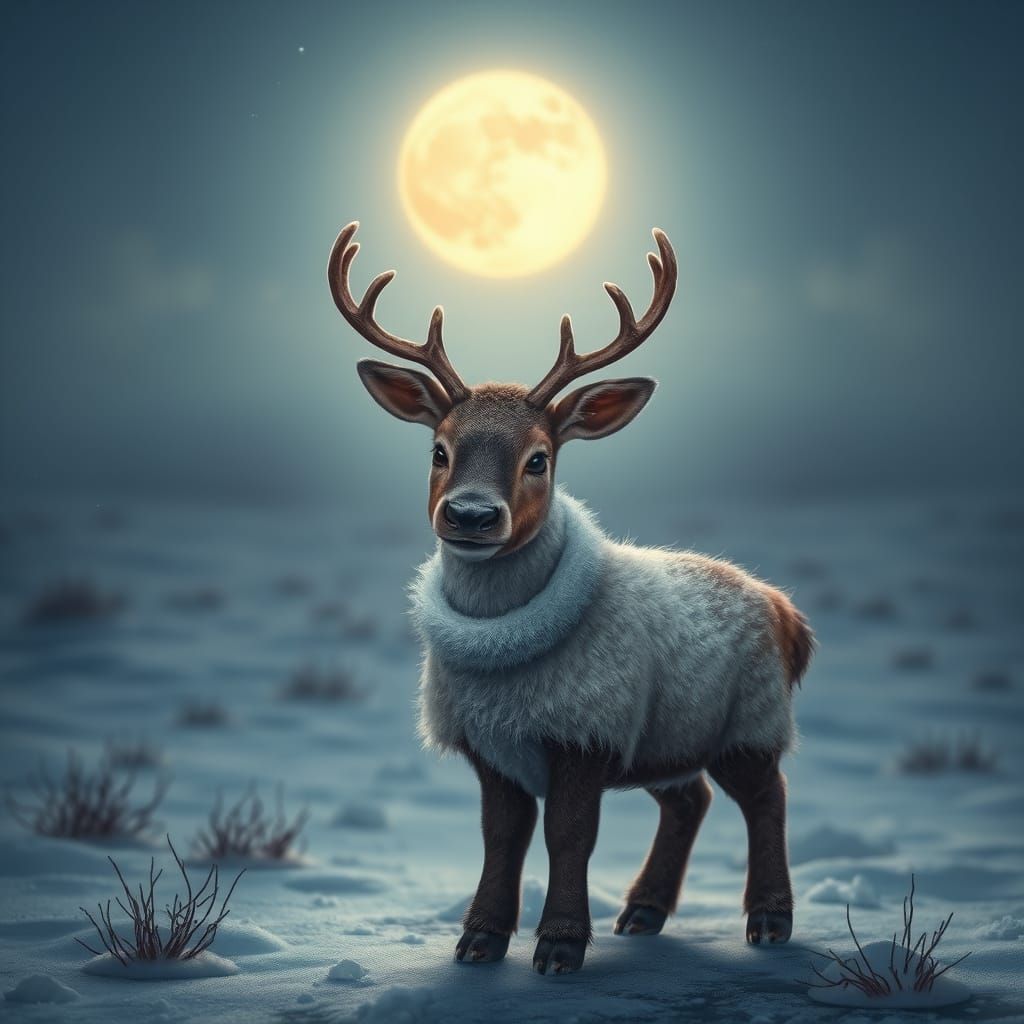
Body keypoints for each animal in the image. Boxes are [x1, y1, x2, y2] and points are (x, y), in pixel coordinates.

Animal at [327, 221, 814, 976]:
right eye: (438, 450)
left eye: (539, 458)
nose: (470, 514)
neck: (504, 660)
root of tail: (789, 615)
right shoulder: (491, 742)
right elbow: (503, 834)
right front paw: (479, 940)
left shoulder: (588, 726)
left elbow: (569, 833)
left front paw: (558, 945)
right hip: (668, 736)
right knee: (690, 798)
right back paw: (643, 912)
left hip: (749, 720)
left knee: (768, 796)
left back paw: (768, 920)